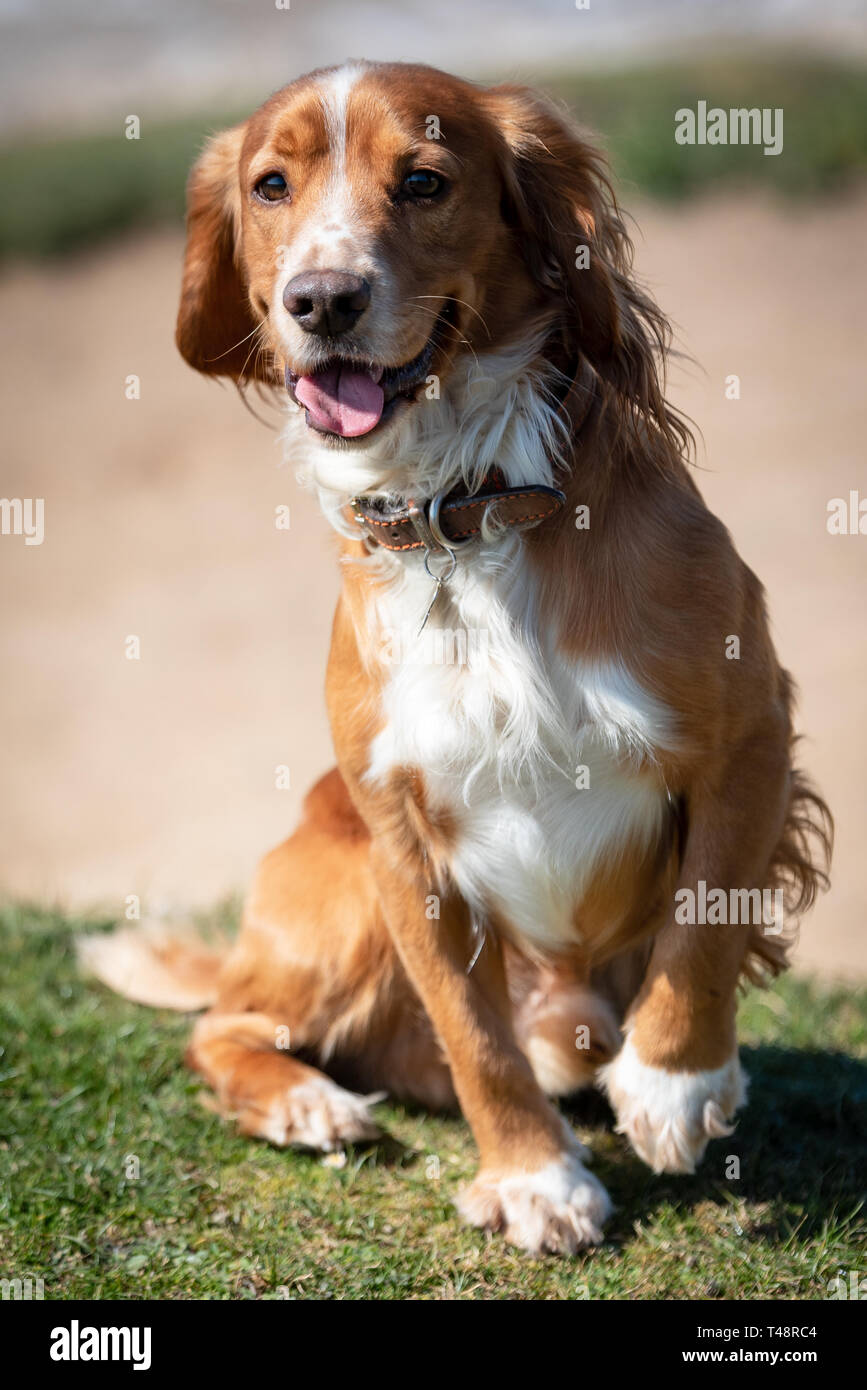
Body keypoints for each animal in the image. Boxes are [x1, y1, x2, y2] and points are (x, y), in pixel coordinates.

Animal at [83, 62, 833, 1262]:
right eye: (270, 186)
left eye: (425, 181)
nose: (321, 300)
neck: (461, 510)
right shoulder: (399, 843)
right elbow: (476, 1035)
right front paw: (533, 1178)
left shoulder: (749, 729)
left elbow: (708, 914)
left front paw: (675, 1082)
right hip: (335, 895)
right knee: (223, 1025)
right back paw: (307, 1101)